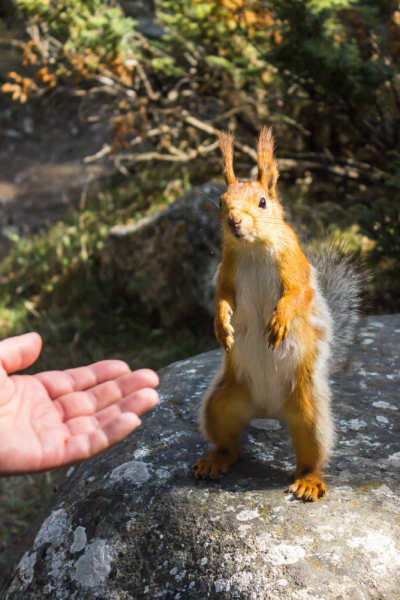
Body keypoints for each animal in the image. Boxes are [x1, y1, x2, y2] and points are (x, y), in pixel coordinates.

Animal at [192, 127, 364, 502]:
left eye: (262, 202)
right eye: (222, 203)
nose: (234, 222)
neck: (254, 248)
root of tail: (268, 410)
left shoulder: (295, 265)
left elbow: (297, 295)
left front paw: (280, 321)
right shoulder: (226, 270)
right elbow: (222, 299)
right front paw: (221, 326)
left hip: (309, 410)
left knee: (312, 453)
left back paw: (308, 482)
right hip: (221, 403)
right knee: (229, 444)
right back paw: (215, 460)